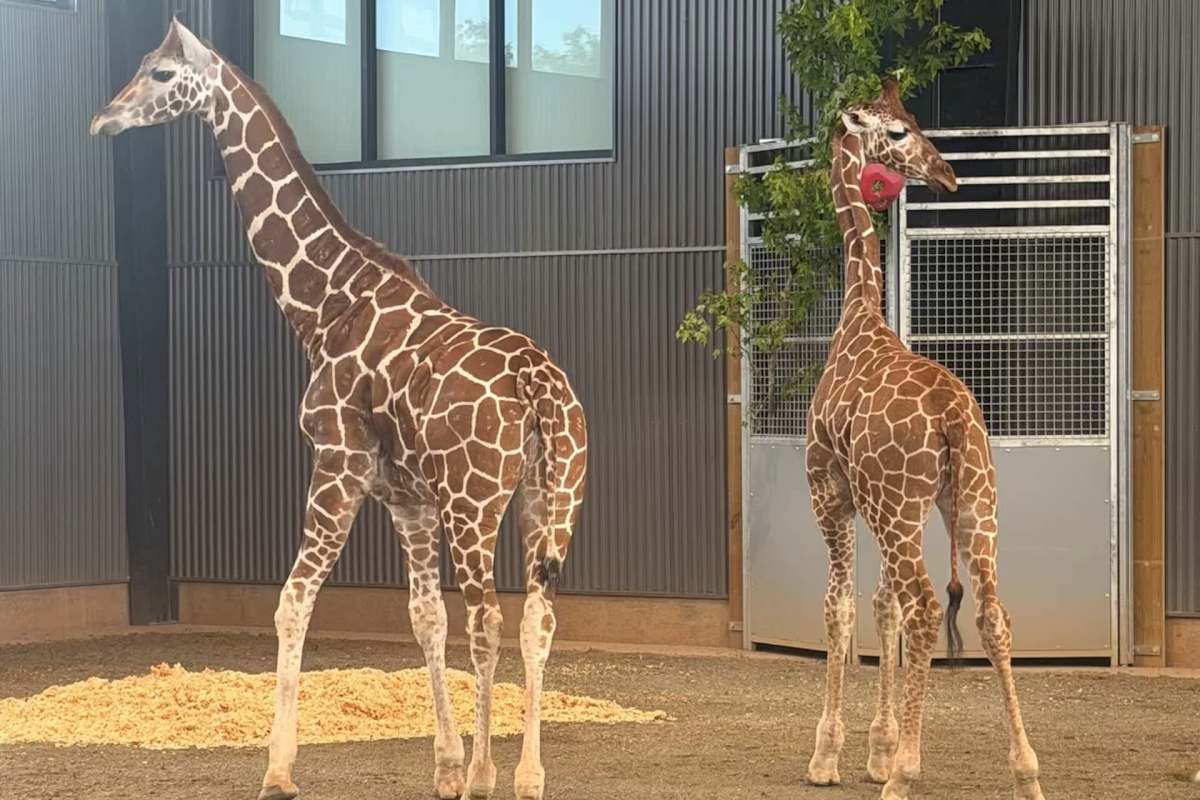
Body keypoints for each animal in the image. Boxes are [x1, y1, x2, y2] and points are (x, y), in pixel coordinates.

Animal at [90, 20, 587, 800]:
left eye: (163, 73)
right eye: (140, 65)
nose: (104, 119)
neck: (325, 305)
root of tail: (538, 384)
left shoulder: (338, 464)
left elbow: (293, 601)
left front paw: (278, 769)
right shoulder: (407, 498)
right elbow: (423, 618)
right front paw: (444, 767)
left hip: (477, 502)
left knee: (489, 616)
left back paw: (489, 774)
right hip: (552, 495)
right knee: (537, 616)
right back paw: (527, 775)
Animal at [802, 79, 1045, 800]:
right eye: (899, 130)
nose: (947, 173)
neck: (858, 314)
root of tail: (952, 419)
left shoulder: (831, 494)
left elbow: (841, 610)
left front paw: (833, 756)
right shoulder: (875, 507)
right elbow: (878, 607)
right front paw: (878, 748)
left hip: (902, 506)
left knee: (927, 605)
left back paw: (906, 776)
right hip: (972, 503)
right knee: (990, 613)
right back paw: (1027, 771)